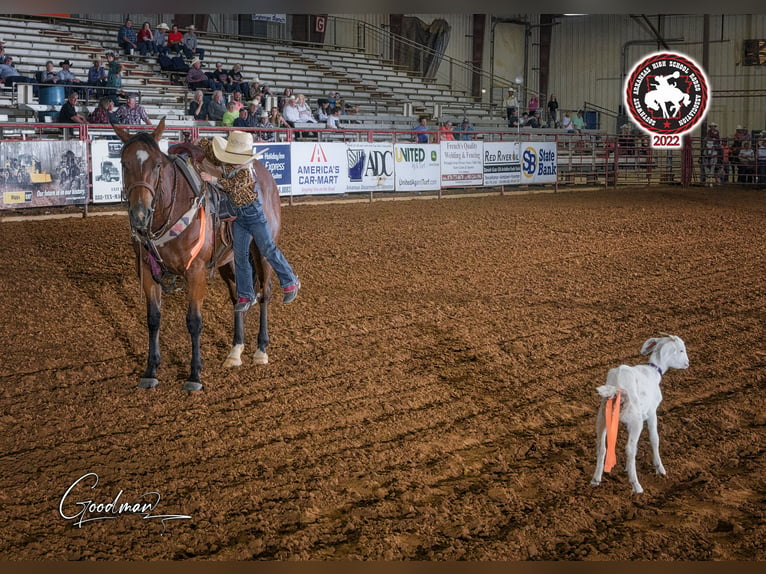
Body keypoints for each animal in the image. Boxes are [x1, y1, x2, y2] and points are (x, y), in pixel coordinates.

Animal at [112, 120, 284, 394]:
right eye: (124, 163)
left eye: (157, 165)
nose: (139, 215)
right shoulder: (147, 271)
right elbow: (153, 319)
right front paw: (150, 371)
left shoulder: (196, 272)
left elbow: (194, 321)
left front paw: (194, 375)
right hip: (230, 262)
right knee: (239, 298)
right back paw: (235, 351)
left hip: (263, 250)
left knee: (265, 293)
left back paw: (260, 350)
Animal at [592, 338, 692, 496]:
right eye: (681, 350)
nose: (687, 363)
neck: (653, 371)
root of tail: (618, 389)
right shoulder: (651, 412)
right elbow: (654, 439)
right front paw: (660, 469)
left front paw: (627, 467)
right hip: (636, 420)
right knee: (630, 448)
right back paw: (636, 486)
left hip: (602, 419)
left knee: (602, 447)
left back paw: (596, 480)